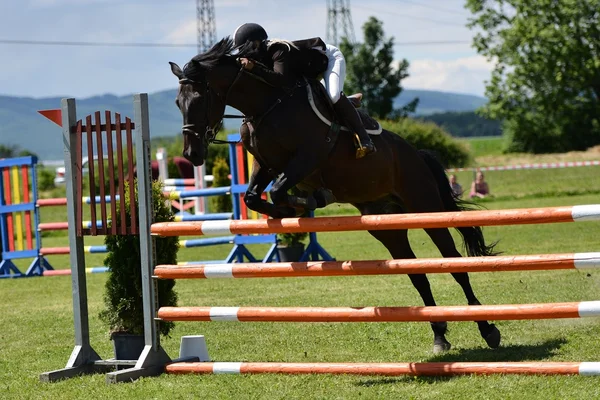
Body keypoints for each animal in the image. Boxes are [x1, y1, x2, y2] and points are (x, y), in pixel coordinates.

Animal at [166, 37, 500, 354]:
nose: (191, 154)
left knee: (455, 264)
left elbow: (278, 190)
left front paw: (310, 201)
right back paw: (440, 335)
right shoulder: (266, 164)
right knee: (417, 274)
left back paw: (487, 329)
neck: (265, 105)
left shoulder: (307, 156)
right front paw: (290, 212)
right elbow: (253, 197)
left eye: (199, 100)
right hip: (387, 225)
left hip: (426, 209)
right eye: (178, 103)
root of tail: (416, 154)